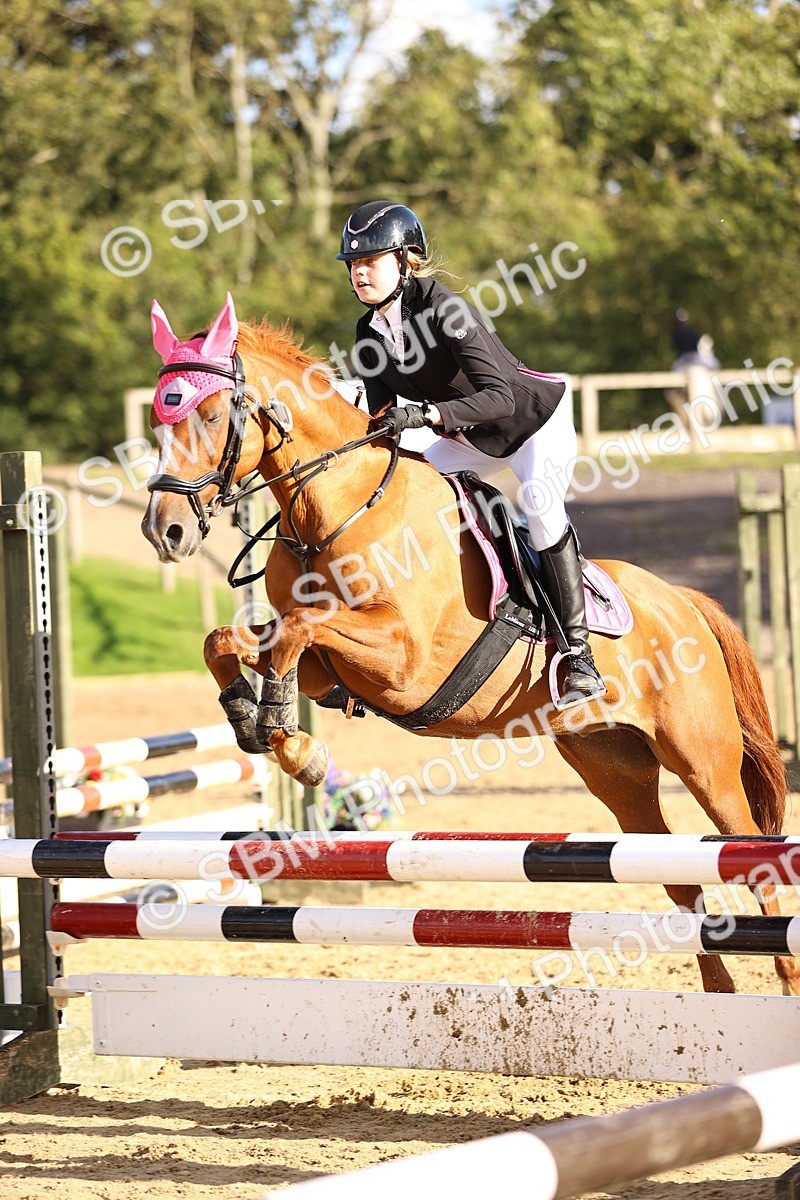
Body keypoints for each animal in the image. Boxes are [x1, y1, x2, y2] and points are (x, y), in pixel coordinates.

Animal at [142, 293, 800, 998]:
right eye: (158, 420)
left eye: (212, 415)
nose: (165, 531)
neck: (339, 507)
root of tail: (681, 600)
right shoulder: (333, 662)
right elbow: (237, 641)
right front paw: (261, 722)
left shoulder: (403, 662)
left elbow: (295, 630)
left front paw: (289, 740)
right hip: (614, 768)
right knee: (676, 875)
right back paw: (719, 992)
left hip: (702, 760)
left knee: (750, 855)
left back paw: (783, 979)